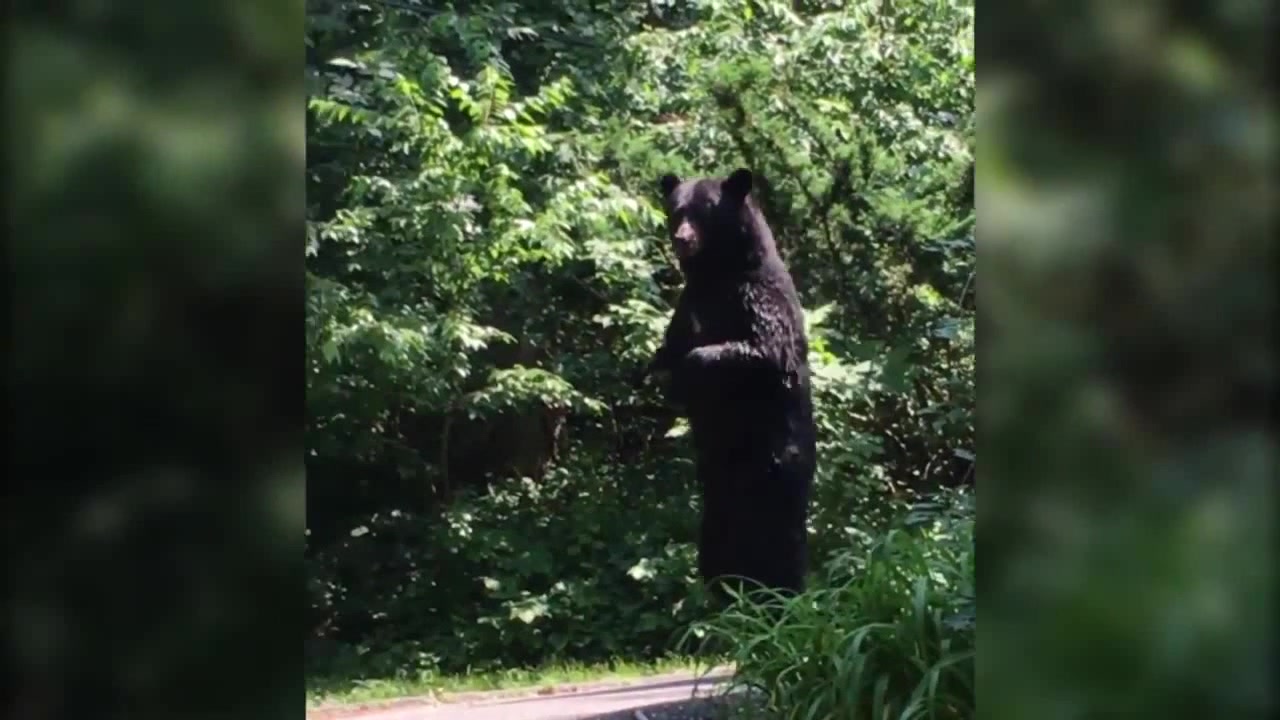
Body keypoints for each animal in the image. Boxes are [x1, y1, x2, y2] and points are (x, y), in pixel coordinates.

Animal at [641, 167, 816, 597]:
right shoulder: (688, 304)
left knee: (783, 546)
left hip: (777, 472)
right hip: (715, 505)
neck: (717, 273)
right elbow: (670, 349)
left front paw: (689, 372)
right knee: (715, 547)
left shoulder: (756, 299)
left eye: (705, 211)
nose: (682, 239)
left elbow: (761, 350)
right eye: (676, 210)